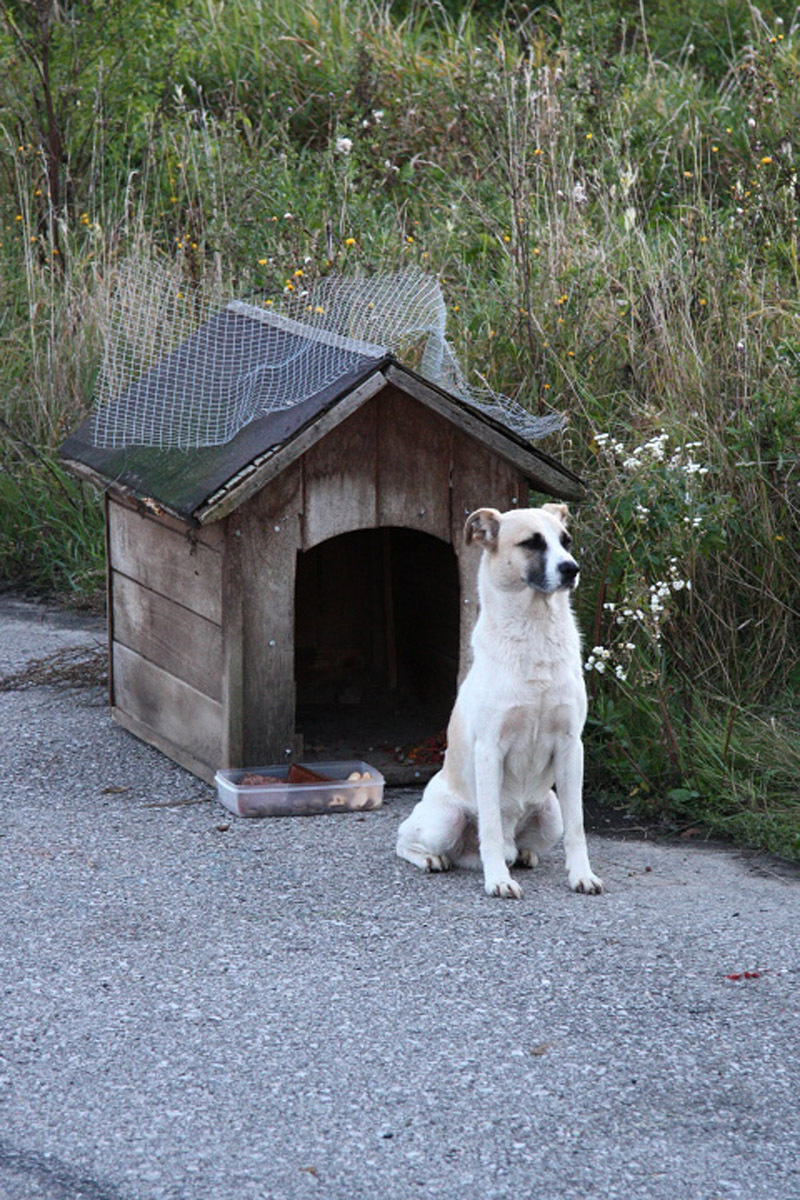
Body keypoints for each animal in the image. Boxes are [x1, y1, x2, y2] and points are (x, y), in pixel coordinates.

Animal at [393, 499, 599, 902]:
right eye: (531, 543)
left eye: (565, 541)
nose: (571, 569)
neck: (535, 632)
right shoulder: (489, 749)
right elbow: (488, 826)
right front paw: (498, 881)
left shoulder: (572, 747)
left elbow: (578, 828)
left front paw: (581, 875)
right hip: (445, 820)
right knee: (405, 839)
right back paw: (435, 859)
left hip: (550, 813)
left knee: (524, 843)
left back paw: (523, 854)